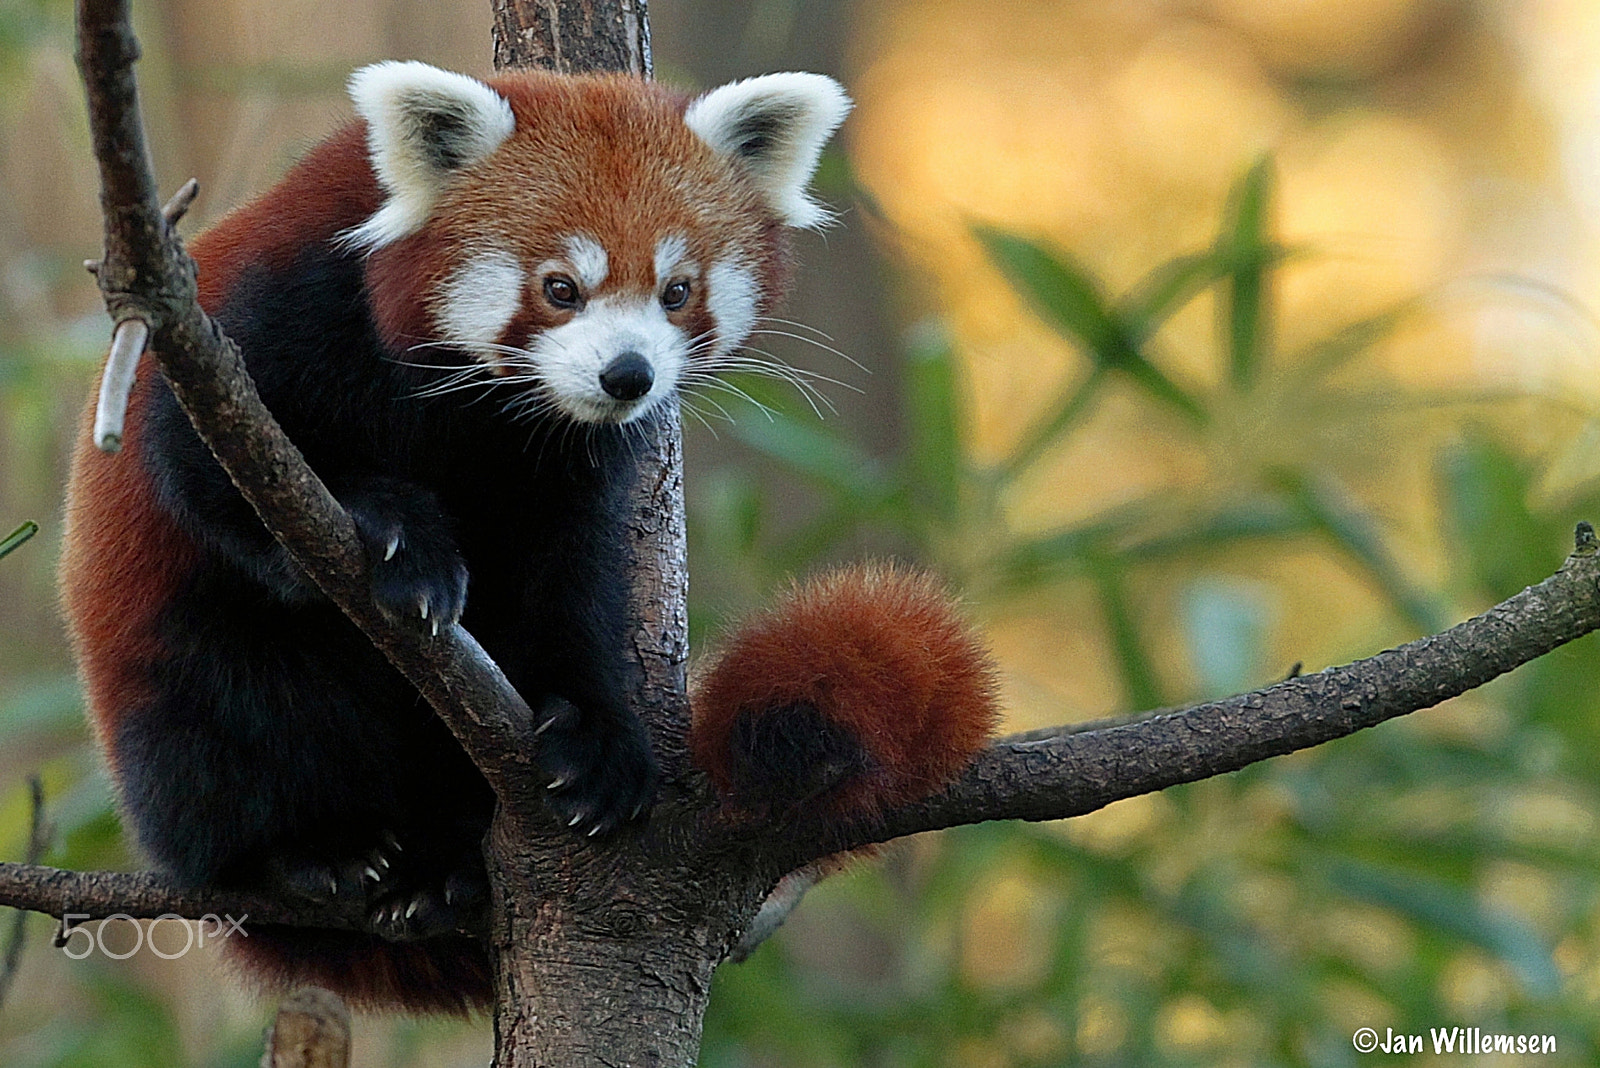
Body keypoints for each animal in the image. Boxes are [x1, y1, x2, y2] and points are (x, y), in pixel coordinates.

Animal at [53, 62, 985, 1016]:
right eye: (560, 288)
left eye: (676, 291)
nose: (627, 374)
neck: (486, 408)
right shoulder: (267, 323)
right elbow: (210, 475)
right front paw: (404, 537)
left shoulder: (570, 473)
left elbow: (568, 589)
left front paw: (596, 737)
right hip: (177, 688)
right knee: (237, 704)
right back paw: (313, 853)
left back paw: (447, 872)